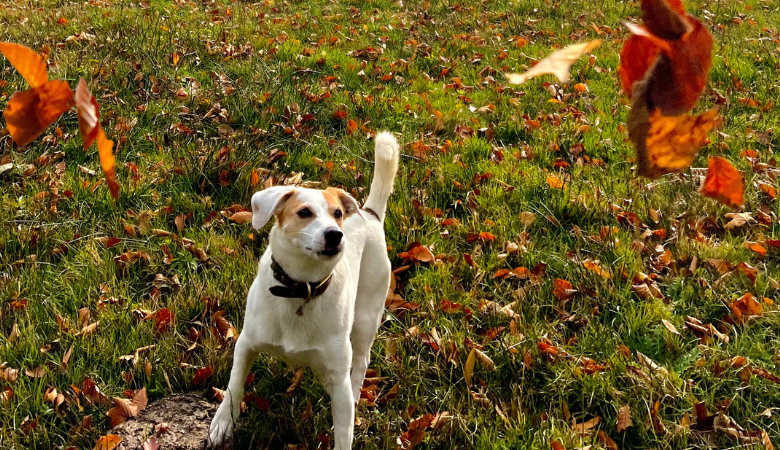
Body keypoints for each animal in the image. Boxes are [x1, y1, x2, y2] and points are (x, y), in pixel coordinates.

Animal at [207, 132, 400, 448]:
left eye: (337, 214)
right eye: (304, 212)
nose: (336, 234)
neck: (300, 289)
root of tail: (369, 214)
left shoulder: (338, 378)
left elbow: (343, 432)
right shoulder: (246, 342)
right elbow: (235, 385)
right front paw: (223, 422)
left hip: (366, 317)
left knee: (361, 361)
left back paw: (357, 391)